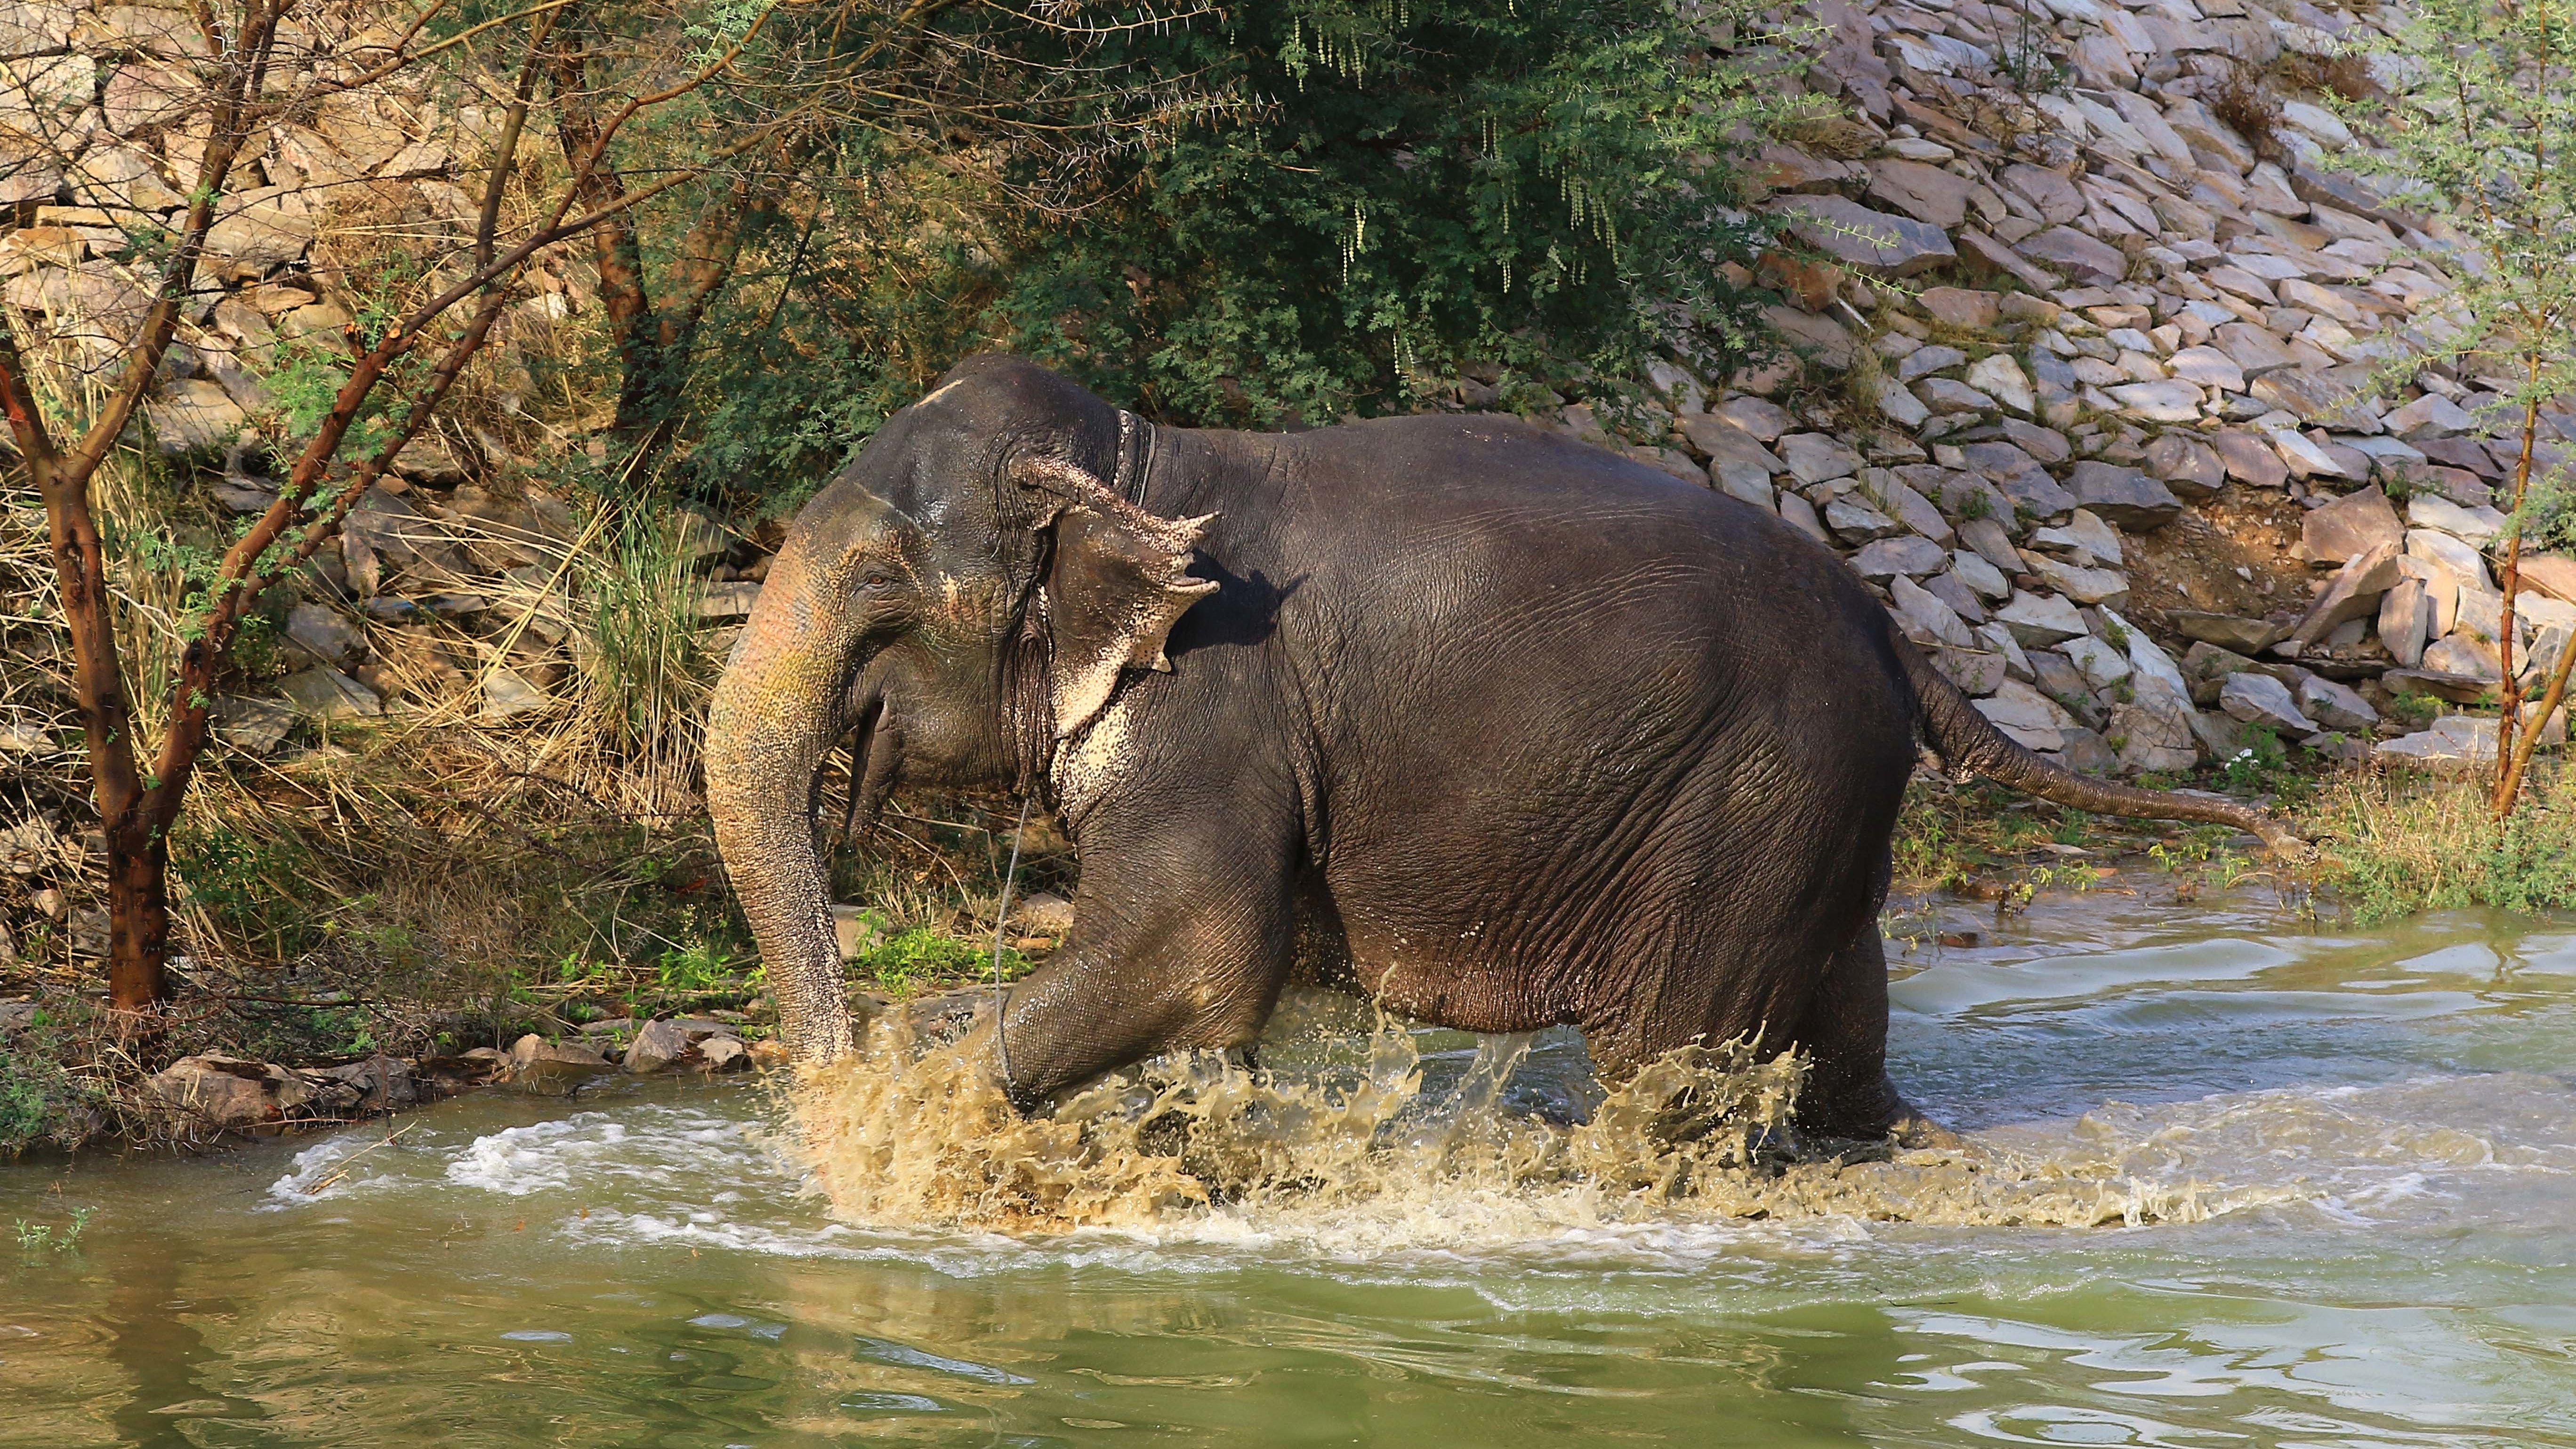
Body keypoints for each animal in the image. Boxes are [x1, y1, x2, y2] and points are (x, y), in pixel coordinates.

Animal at [711, 353, 2298, 1139]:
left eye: (878, 587)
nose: (825, 1070)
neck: (1139, 460)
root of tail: (1897, 631)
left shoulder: (1213, 713)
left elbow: (1196, 942)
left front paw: (892, 1134)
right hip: (1821, 803)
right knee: (1839, 1030)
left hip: (1756, 786)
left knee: (1667, 1059)